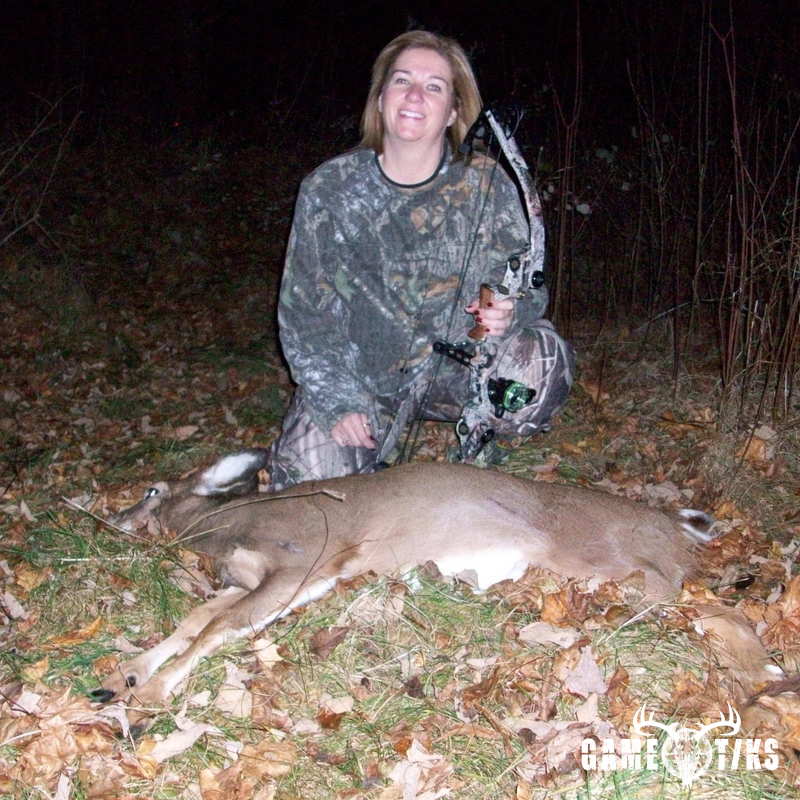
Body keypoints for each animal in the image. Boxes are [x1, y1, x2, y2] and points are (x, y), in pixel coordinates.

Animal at [91, 448, 782, 722]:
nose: (108, 518)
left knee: (703, 604)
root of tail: (675, 525)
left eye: (151, 488)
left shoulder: (304, 558)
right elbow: (194, 620)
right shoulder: (267, 579)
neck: (224, 526)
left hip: (614, 563)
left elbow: (216, 628)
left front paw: (153, 692)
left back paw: (765, 673)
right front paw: (123, 675)